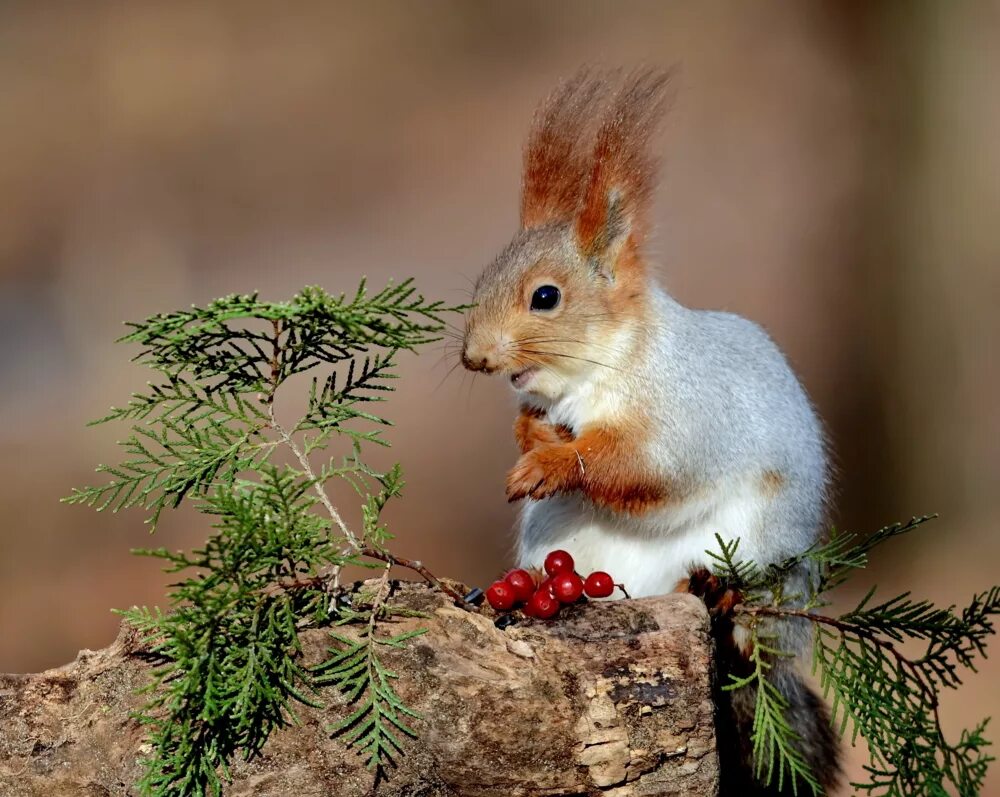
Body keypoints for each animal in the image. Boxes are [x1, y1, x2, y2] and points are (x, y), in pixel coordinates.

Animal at [460, 70, 844, 796]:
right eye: (481, 279)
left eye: (545, 297)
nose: (474, 357)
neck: (600, 373)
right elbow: (534, 422)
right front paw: (532, 438)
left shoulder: (686, 415)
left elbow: (643, 467)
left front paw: (555, 463)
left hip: (753, 551)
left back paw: (708, 592)